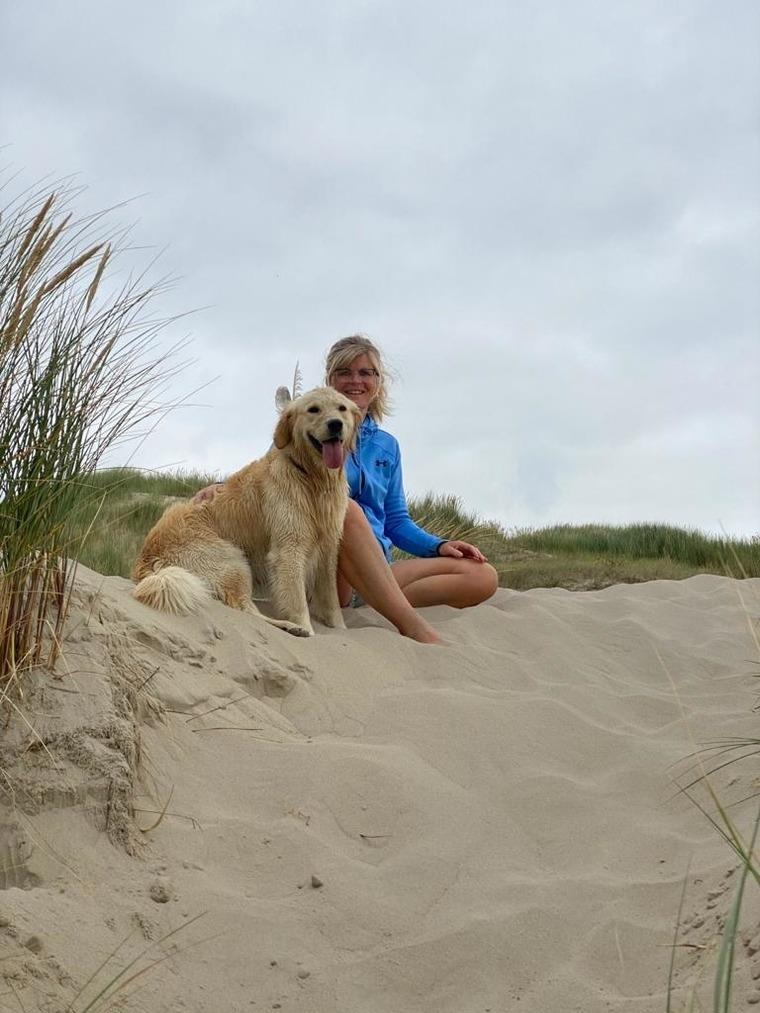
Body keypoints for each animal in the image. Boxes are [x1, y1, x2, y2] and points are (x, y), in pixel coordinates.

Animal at [131, 386, 361, 636]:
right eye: (313, 409)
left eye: (342, 408)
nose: (335, 424)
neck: (311, 477)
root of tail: (145, 559)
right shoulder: (289, 549)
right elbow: (297, 600)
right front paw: (306, 627)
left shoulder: (329, 548)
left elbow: (331, 602)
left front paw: (340, 629)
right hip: (233, 561)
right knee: (244, 609)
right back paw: (292, 628)